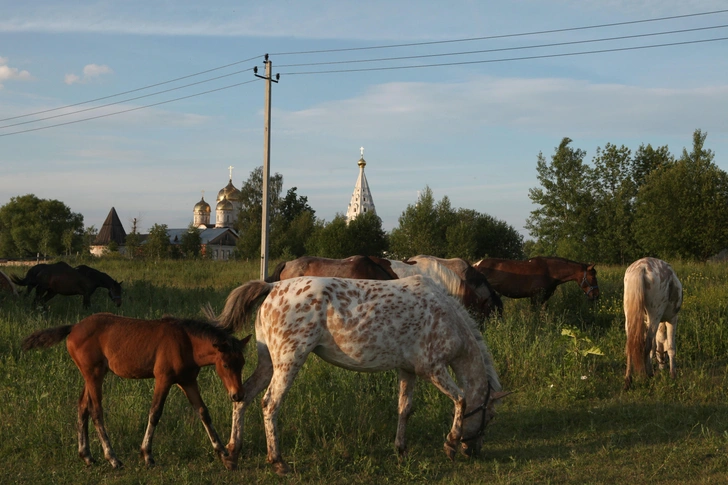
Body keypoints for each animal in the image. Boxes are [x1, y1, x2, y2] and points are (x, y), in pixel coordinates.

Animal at [22, 312, 253, 466]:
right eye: (226, 365)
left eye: (242, 362)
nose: (237, 394)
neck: (185, 342)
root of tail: (74, 327)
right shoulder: (163, 379)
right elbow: (155, 413)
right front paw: (147, 454)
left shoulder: (188, 381)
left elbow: (203, 412)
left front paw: (222, 450)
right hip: (94, 375)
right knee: (96, 411)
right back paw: (112, 458)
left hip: (92, 375)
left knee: (82, 407)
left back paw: (87, 456)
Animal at [216, 274, 506, 474]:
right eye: (490, 416)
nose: (473, 451)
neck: (447, 318)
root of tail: (273, 287)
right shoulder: (432, 369)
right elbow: (461, 399)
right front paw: (451, 444)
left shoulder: (407, 370)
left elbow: (405, 409)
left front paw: (401, 449)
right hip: (288, 363)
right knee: (269, 404)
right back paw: (278, 462)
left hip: (268, 364)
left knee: (243, 398)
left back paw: (232, 453)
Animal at [620, 258, 684, 390]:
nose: (662, 366)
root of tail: (642, 267)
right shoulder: (672, 320)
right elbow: (670, 347)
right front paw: (673, 375)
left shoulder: (647, 321)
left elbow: (655, 346)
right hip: (655, 315)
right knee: (647, 344)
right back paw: (646, 376)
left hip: (629, 316)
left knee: (631, 345)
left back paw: (628, 380)